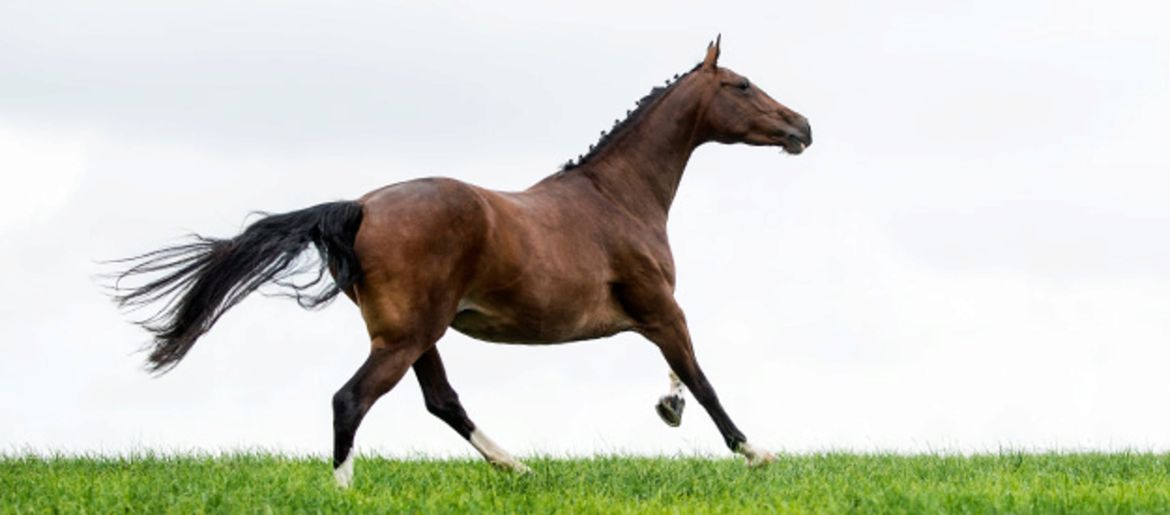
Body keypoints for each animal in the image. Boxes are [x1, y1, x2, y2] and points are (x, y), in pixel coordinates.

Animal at [111, 37, 814, 486]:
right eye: (741, 85)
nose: (802, 127)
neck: (617, 196)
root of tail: (359, 207)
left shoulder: (650, 315)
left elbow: (680, 372)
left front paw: (669, 410)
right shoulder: (661, 307)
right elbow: (700, 375)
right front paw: (756, 453)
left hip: (418, 334)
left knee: (441, 401)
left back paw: (517, 467)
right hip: (407, 337)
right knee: (350, 400)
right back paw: (348, 491)